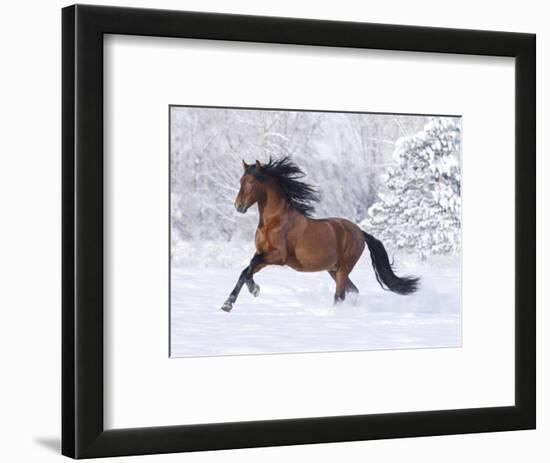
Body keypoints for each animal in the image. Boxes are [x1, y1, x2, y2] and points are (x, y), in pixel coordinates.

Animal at [222, 158, 420, 314]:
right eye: (241, 180)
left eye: (251, 181)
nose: (238, 206)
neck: (274, 221)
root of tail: (360, 232)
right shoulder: (262, 254)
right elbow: (246, 270)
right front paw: (230, 302)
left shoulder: (279, 257)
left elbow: (250, 266)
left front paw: (252, 291)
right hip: (334, 270)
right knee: (353, 291)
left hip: (343, 268)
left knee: (340, 295)